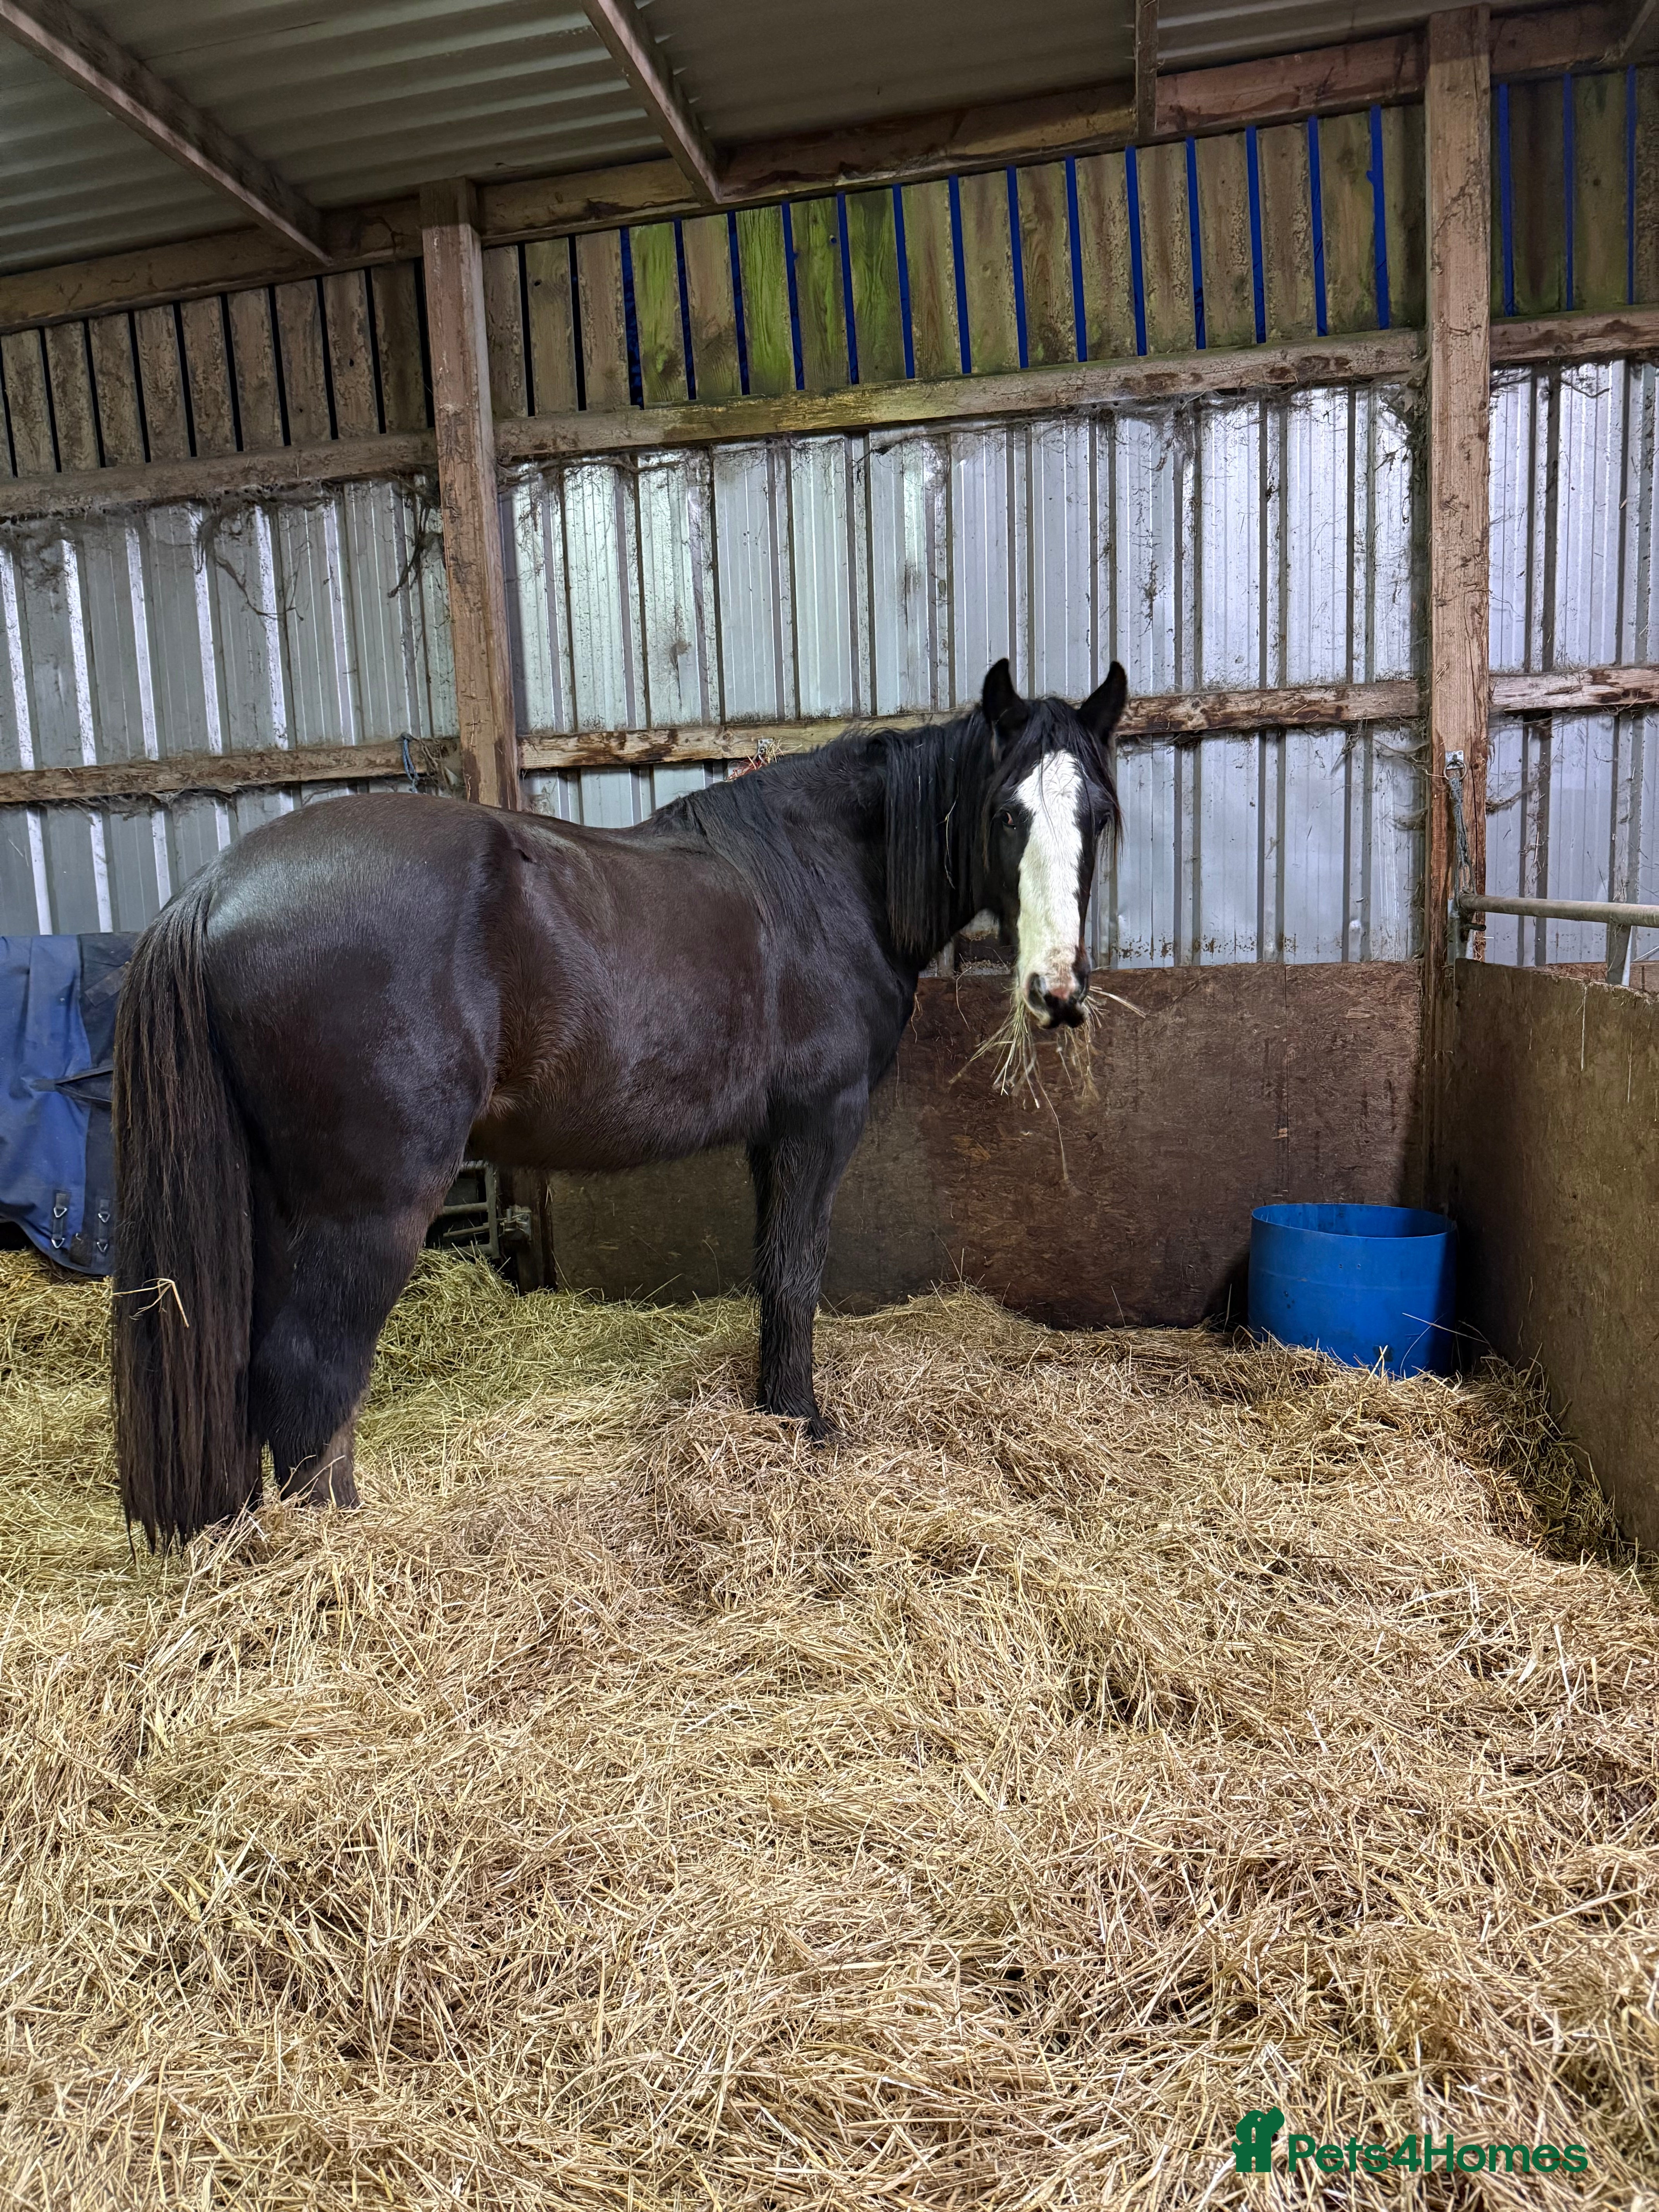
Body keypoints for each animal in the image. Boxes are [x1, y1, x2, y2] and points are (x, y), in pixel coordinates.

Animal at [112, 657, 1127, 1546]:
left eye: (1100, 815)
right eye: (1005, 813)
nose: (1057, 992)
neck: (823, 879)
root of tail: (214, 891)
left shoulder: (769, 1137)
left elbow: (771, 1271)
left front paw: (773, 1413)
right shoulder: (819, 1122)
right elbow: (798, 1273)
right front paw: (805, 1423)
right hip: (369, 1209)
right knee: (310, 1373)